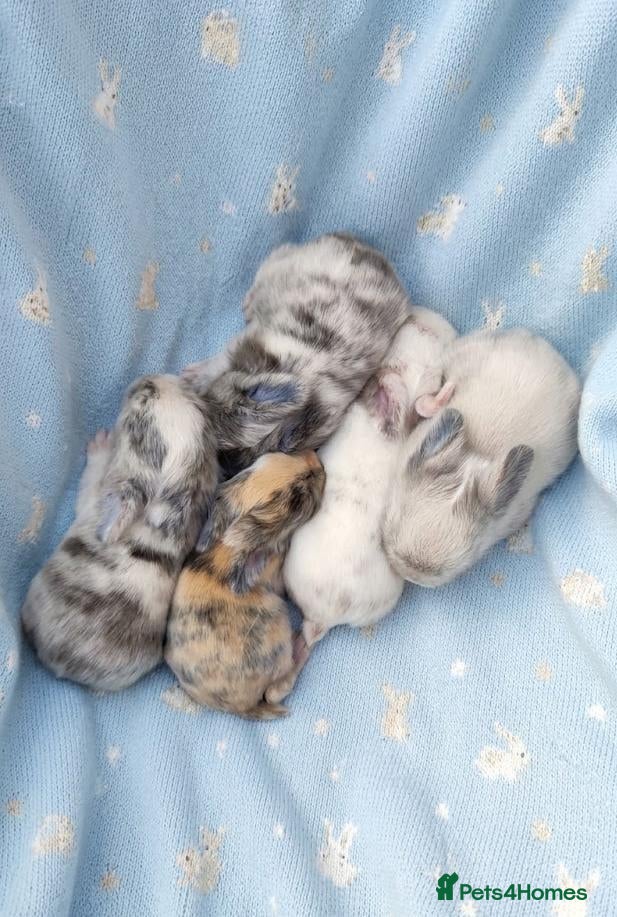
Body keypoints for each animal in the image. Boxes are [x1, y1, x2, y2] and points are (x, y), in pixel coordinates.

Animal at [22, 375, 218, 691]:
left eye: (143, 402)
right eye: (191, 396)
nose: (146, 377)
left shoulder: (96, 498)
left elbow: (92, 477)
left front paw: (101, 444)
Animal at [165, 450, 325, 719]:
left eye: (282, 453)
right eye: (299, 497)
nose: (317, 459)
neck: (226, 546)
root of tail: (241, 707)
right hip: (278, 622)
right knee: (275, 690)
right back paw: (301, 644)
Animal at [181, 233, 411, 476]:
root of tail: (358, 244)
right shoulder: (240, 345)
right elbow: (214, 365)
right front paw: (190, 376)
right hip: (284, 267)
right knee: (272, 262)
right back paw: (248, 304)